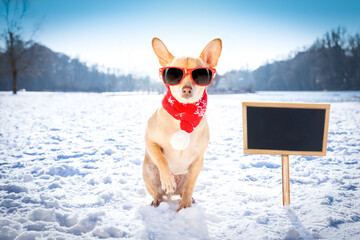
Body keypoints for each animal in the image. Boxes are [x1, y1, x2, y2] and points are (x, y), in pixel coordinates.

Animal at [142, 36, 221, 211]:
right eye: (174, 74)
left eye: (199, 75)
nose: (186, 89)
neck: (183, 115)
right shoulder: (150, 142)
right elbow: (162, 159)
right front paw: (167, 180)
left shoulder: (198, 160)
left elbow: (190, 186)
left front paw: (184, 207)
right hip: (148, 171)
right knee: (157, 192)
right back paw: (158, 200)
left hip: (187, 175)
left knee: (185, 190)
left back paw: (188, 199)